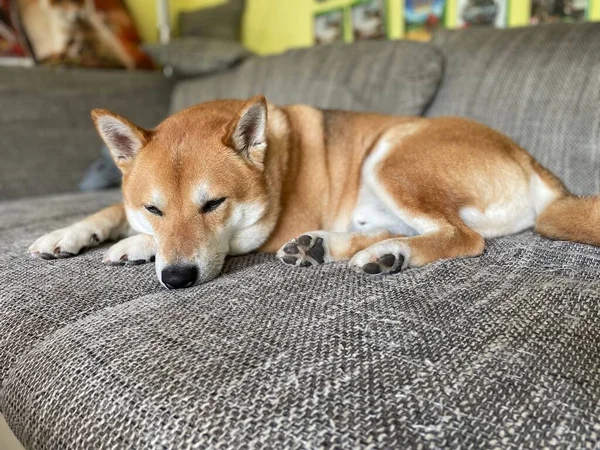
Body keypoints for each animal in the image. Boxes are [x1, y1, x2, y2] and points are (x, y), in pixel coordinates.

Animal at [29, 96, 600, 290]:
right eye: (153, 206)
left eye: (213, 204)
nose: (176, 279)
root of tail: (531, 160)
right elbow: (110, 207)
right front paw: (69, 234)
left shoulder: (259, 229)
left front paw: (134, 245)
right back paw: (327, 247)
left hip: (392, 157)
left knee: (463, 237)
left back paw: (390, 254)